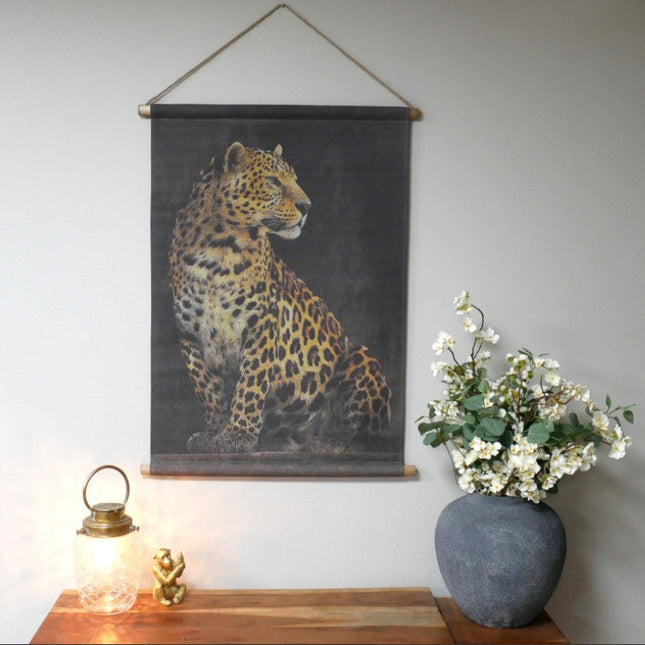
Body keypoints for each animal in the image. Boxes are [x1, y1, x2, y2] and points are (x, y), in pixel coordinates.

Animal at [169, 141, 392, 453]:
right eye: (273, 181)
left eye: (295, 180)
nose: (306, 206)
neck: (217, 248)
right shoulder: (189, 334)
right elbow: (208, 390)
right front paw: (213, 432)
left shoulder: (260, 325)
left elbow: (250, 384)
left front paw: (237, 435)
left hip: (361, 357)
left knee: (364, 437)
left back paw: (328, 443)